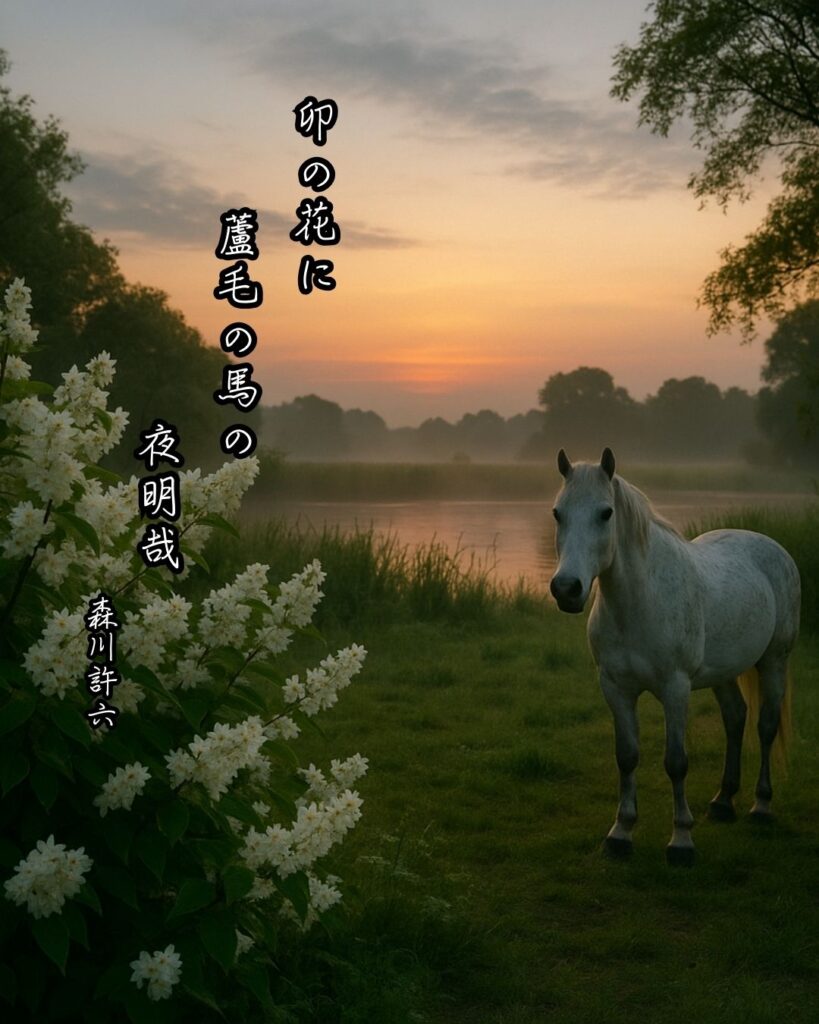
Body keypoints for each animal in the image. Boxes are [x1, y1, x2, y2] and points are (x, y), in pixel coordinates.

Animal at [549, 447, 800, 865]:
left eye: (606, 513)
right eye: (558, 512)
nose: (567, 588)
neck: (639, 604)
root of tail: (772, 546)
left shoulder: (675, 689)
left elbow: (676, 761)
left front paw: (681, 840)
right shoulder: (615, 688)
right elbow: (627, 756)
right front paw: (621, 833)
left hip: (774, 661)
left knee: (765, 726)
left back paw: (761, 806)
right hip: (724, 672)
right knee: (735, 719)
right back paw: (723, 801)